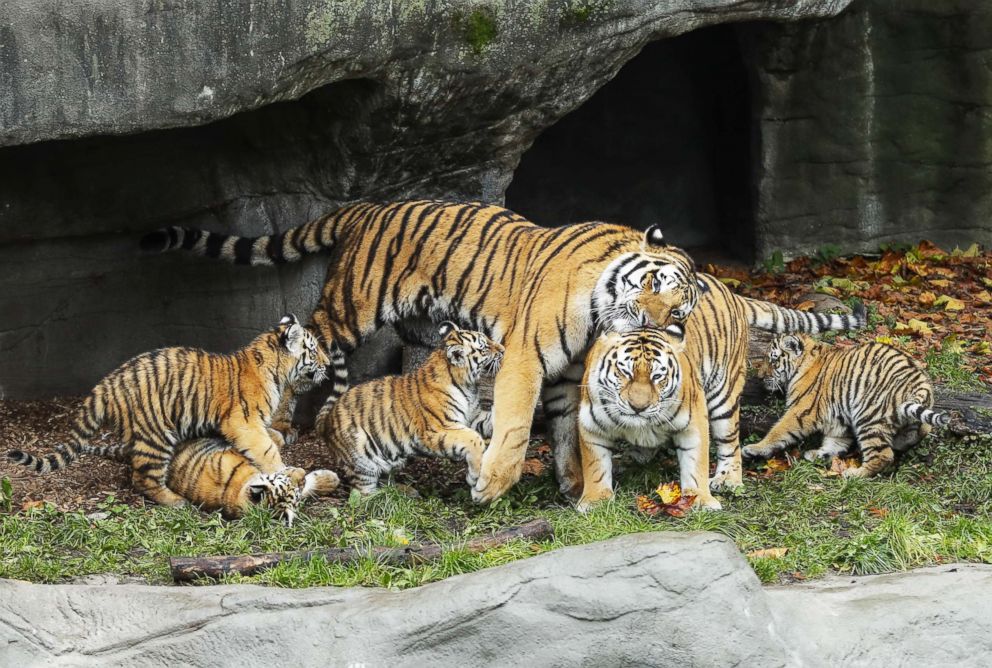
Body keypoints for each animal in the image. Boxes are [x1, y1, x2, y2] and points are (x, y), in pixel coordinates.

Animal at [143, 201, 864, 504]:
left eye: (679, 314)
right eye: (656, 287)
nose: (652, 323)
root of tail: (365, 207)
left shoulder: (569, 374)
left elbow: (568, 430)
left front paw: (571, 483)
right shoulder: (524, 357)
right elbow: (517, 425)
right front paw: (492, 483)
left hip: (418, 322)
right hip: (351, 308)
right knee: (309, 344)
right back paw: (292, 419)